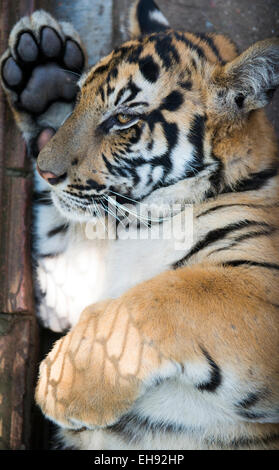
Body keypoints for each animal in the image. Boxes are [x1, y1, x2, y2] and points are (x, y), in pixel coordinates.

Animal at [0, 0, 279, 452]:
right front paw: (41, 72)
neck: (142, 221)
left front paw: (63, 383)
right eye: (78, 98)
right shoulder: (74, 282)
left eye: (122, 119)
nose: (45, 172)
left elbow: (166, 297)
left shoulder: (258, 283)